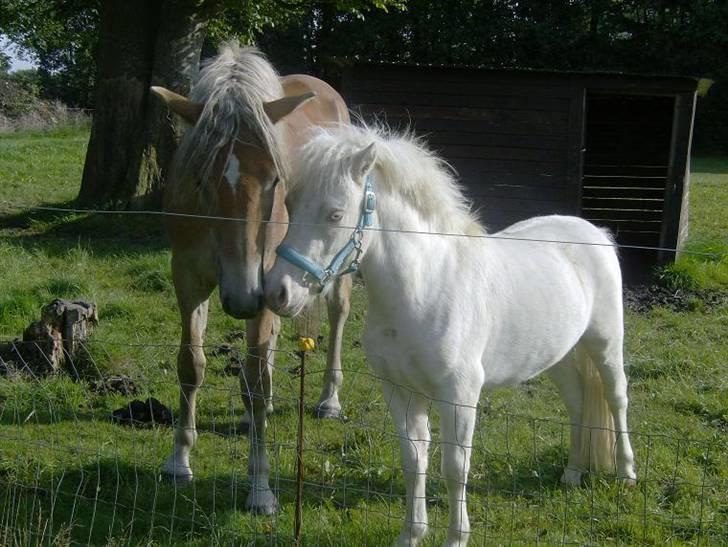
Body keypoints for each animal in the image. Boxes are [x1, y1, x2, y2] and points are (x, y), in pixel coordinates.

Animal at [152, 45, 352, 516]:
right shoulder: (188, 278)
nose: (243, 298)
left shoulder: (261, 285)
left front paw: (260, 488)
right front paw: (178, 461)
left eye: (275, 179)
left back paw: (328, 400)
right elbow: (191, 365)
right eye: (201, 178)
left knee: (338, 314)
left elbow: (258, 381)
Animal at [264, 126, 636, 544]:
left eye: (335, 213)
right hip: (559, 356)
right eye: (290, 204)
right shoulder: (401, 390)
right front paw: (412, 533)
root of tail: (594, 231)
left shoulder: (459, 394)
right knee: (578, 404)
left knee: (616, 398)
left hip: (605, 344)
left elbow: (456, 467)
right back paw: (572, 473)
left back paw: (626, 473)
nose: (278, 293)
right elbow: (414, 459)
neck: (423, 286)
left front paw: (456, 536)